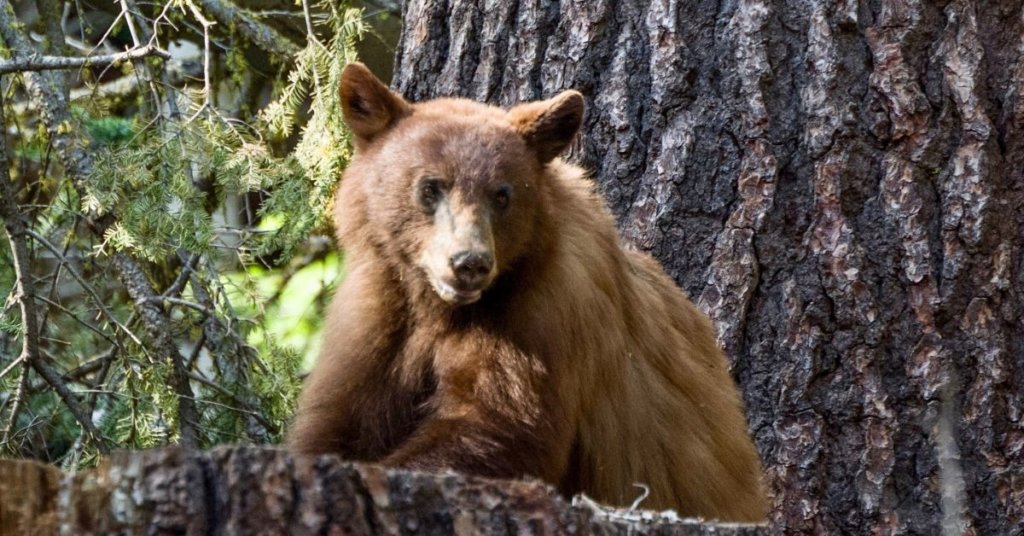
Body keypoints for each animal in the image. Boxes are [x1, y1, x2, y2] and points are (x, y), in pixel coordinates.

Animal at [288, 62, 767, 522]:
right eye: (430, 186)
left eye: (502, 194)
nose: (470, 262)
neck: (435, 308)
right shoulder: (378, 312)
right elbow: (339, 416)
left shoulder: (543, 312)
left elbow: (500, 426)